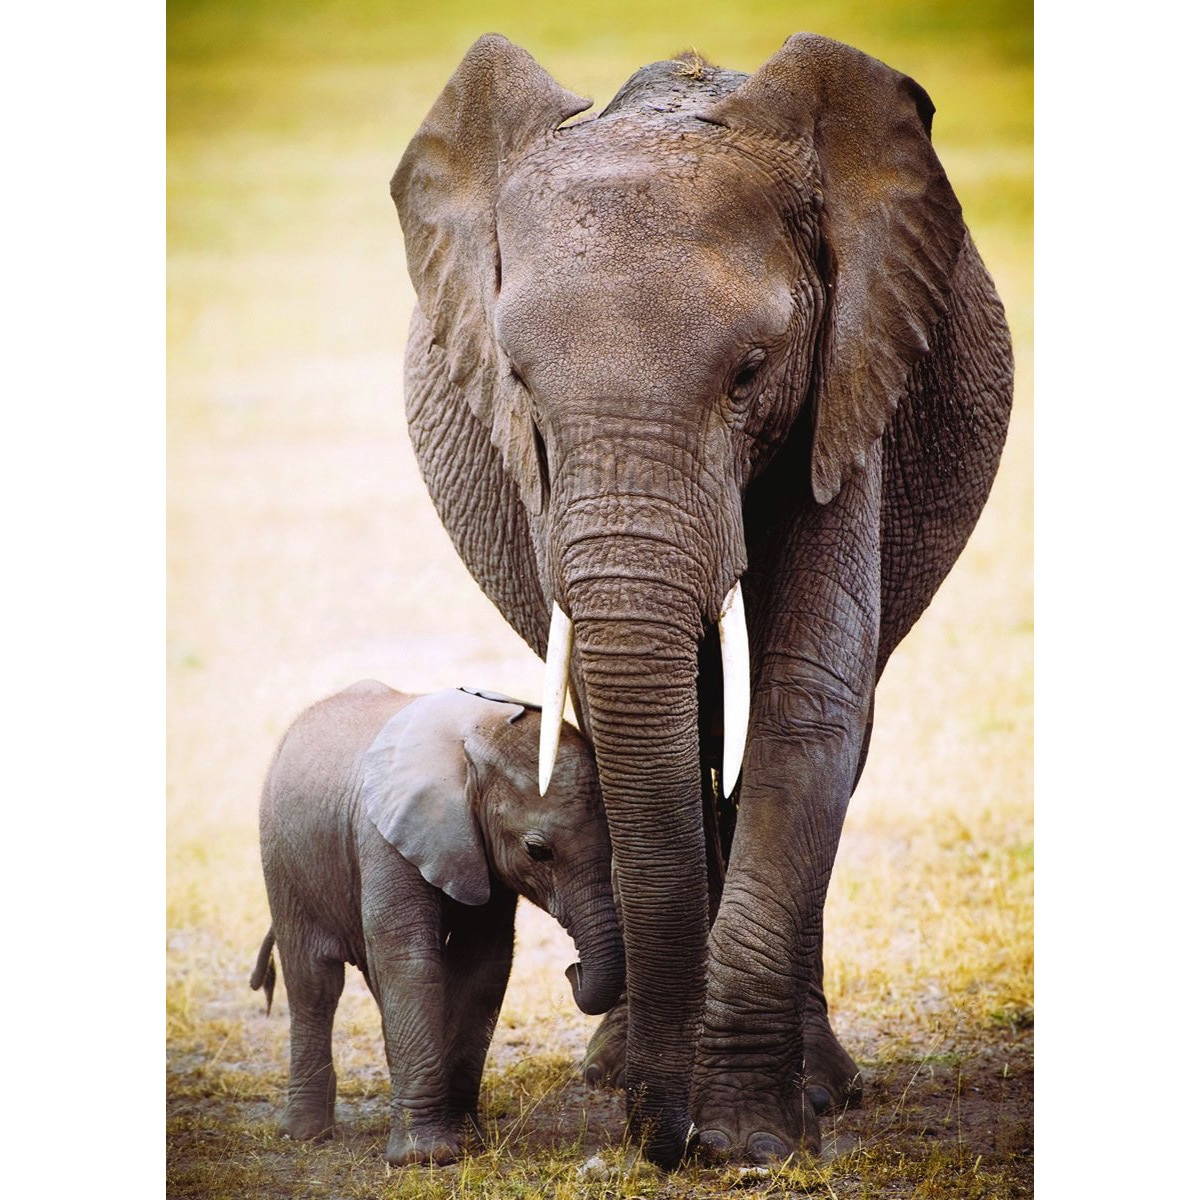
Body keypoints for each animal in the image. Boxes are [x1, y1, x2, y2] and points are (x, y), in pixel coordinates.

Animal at [252, 680, 624, 1166]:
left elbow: (483, 964)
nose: (572, 970)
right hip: (282, 859)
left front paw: (467, 1140)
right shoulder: (384, 836)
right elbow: (410, 960)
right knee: (314, 981)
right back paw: (306, 1134)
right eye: (537, 851)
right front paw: (424, 1158)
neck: (474, 739)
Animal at [390, 32, 1013, 1168]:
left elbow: (808, 698)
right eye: (519, 382)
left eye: (751, 372)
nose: (662, 1140)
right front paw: (691, 1109)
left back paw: (819, 1087)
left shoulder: (851, 375)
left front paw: (752, 1141)